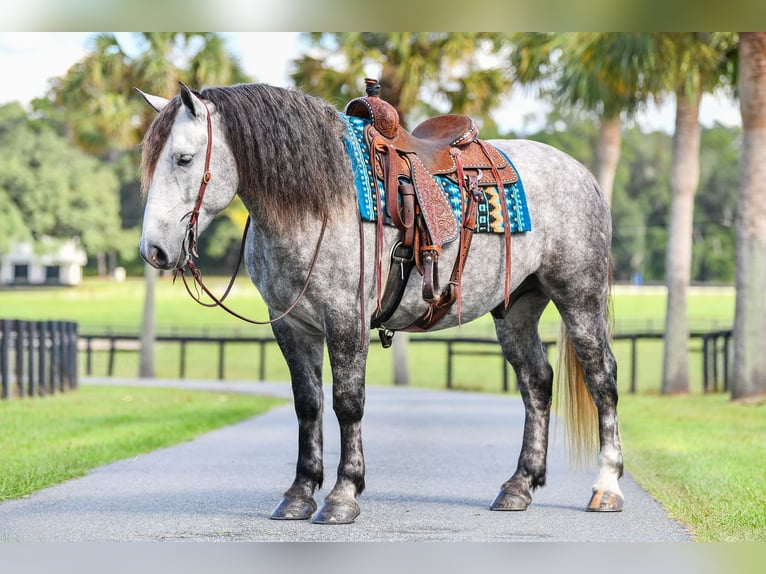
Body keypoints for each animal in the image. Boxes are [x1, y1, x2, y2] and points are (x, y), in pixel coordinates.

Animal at [136, 81, 624, 524]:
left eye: (183, 158)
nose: (153, 251)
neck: (320, 201)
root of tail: (581, 174)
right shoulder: (290, 325)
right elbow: (307, 404)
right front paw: (299, 494)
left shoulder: (346, 318)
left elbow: (348, 403)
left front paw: (343, 495)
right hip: (517, 309)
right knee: (536, 382)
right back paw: (519, 485)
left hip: (578, 298)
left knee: (602, 380)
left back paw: (606, 486)